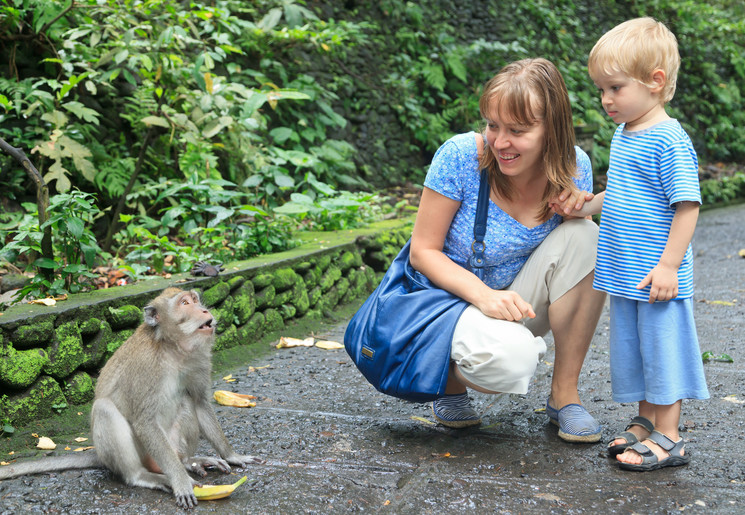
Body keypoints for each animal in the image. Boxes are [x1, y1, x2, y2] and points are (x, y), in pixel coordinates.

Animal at [0, 288, 262, 510]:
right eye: (185, 303)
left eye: (195, 300)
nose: (205, 311)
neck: (172, 348)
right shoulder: (146, 366)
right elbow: (144, 421)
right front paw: (181, 481)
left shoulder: (198, 359)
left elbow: (198, 402)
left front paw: (232, 455)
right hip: (145, 454)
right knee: (105, 410)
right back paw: (148, 475)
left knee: (186, 400)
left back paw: (189, 461)